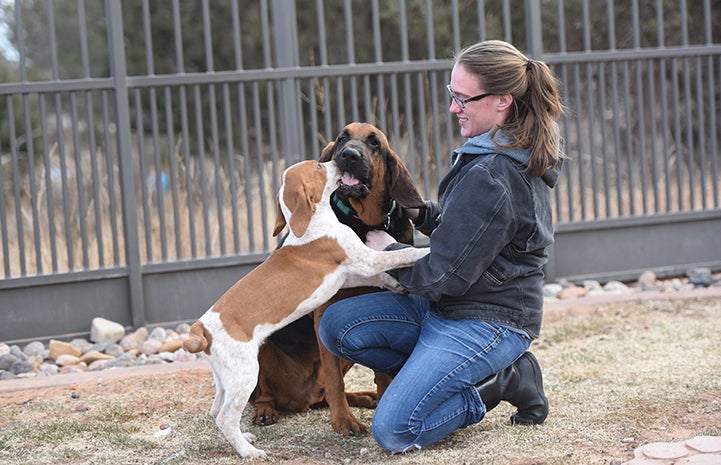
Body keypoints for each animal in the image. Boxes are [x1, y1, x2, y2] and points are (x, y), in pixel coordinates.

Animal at [183, 160, 428, 456]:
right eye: (320, 166)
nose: (340, 159)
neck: (313, 223)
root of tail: (201, 329)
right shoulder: (365, 260)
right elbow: (401, 253)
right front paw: (427, 251)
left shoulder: (351, 273)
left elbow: (382, 276)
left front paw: (397, 285)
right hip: (246, 375)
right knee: (225, 418)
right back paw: (249, 451)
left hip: (225, 378)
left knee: (215, 410)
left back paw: (245, 440)